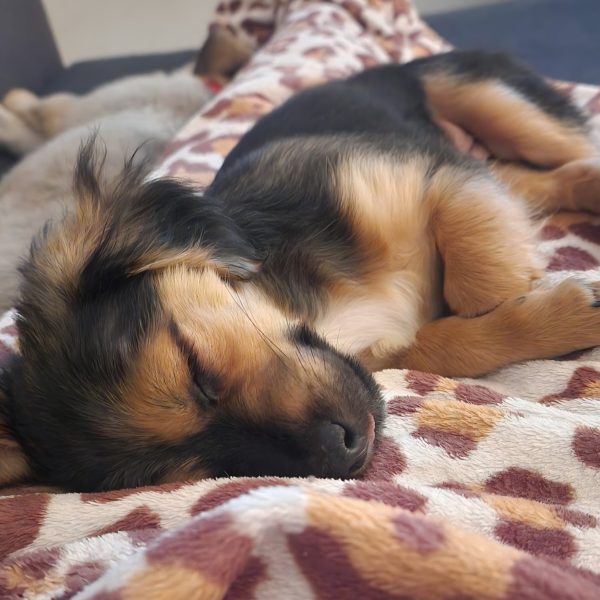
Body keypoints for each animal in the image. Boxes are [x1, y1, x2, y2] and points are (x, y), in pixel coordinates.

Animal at [2, 50, 600, 492]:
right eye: (204, 468)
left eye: (197, 368)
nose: (346, 452)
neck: (323, 309)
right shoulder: (384, 349)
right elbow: (449, 343)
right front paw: (560, 313)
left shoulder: (426, 172)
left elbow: (479, 285)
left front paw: (532, 290)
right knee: (547, 179)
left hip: (493, 101)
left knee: (560, 151)